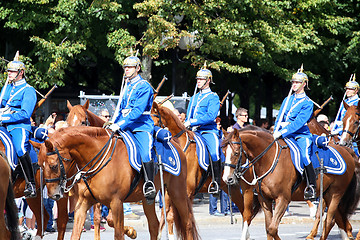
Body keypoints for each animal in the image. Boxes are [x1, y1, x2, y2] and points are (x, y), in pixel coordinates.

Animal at [33, 126, 200, 239]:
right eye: (39, 165)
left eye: (53, 166)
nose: (53, 195)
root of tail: (176, 143)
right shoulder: (84, 202)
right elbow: (76, 233)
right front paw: (131, 231)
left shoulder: (116, 202)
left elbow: (118, 233)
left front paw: (130, 231)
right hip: (148, 199)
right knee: (154, 225)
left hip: (177, 192)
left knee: (187, 223)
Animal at [150, 102, 260, 240]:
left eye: (152, 123)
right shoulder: (169, 191)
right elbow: (167, 216)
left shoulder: (187, 192)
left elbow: (186, 220)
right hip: (231, 187)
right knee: (243, 209)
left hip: (247, 188)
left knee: (247, 213)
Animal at [222, 127, 360, 240]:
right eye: (223, 152)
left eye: (236, 153)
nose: (227, 178)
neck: (269, 159)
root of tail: (347, 151)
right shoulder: (265, 200)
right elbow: (268, 228)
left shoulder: (283, 199)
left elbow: (272, 229)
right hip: (327, 194)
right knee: (335, 219)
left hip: (335, 194)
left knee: (329, 221)